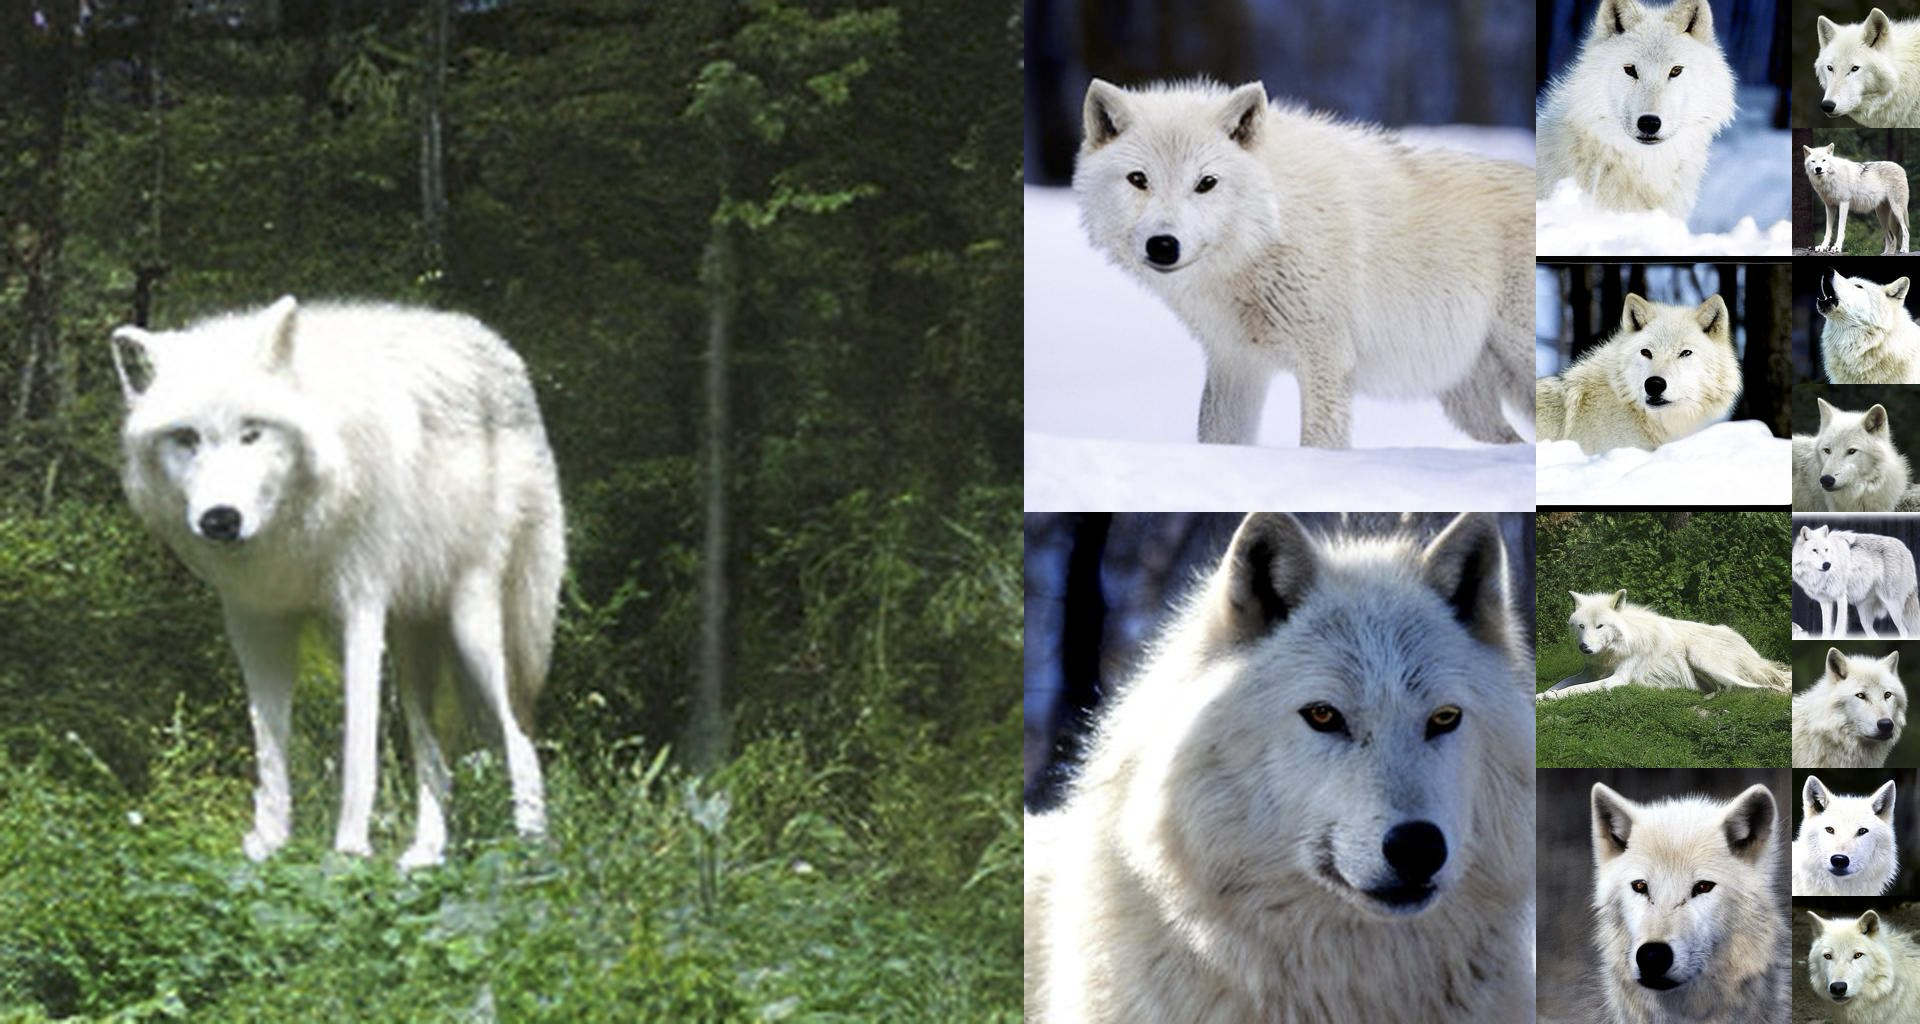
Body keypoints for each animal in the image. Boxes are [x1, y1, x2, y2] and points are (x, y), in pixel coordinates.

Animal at [110, 296, 564, 867]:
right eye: (186, 438)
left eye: (252, 433)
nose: (221, 519)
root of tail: (500, 348)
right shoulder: (254, 623)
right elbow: (269, 749)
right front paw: (267, 845)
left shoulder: (361, 607)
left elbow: (359, 752)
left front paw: (348, 850)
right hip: (414, 648)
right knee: (437, 762)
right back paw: (424, 854)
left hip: (475, 627)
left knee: (519, 737)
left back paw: (530, 851)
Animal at [1073, 79, 1533, 449]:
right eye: (1138, 179)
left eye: (1206, 183)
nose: (1164, 245)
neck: (1268, 233)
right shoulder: (1235, 363)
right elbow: (1217, 438)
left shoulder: (1325, 358)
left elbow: (1319, 443)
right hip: (1470, 403)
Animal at [1536, 589, 1789, 703]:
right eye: (1581, 626)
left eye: (1600, 626)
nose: (1585, 648)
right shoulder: (1589, 671)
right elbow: (1561, 683)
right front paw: (1541, 694)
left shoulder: (1617, 679)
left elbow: (1573, 690)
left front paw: (1552, 697)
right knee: (1729, 688)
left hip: (1697, 654)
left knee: (1757, 687)